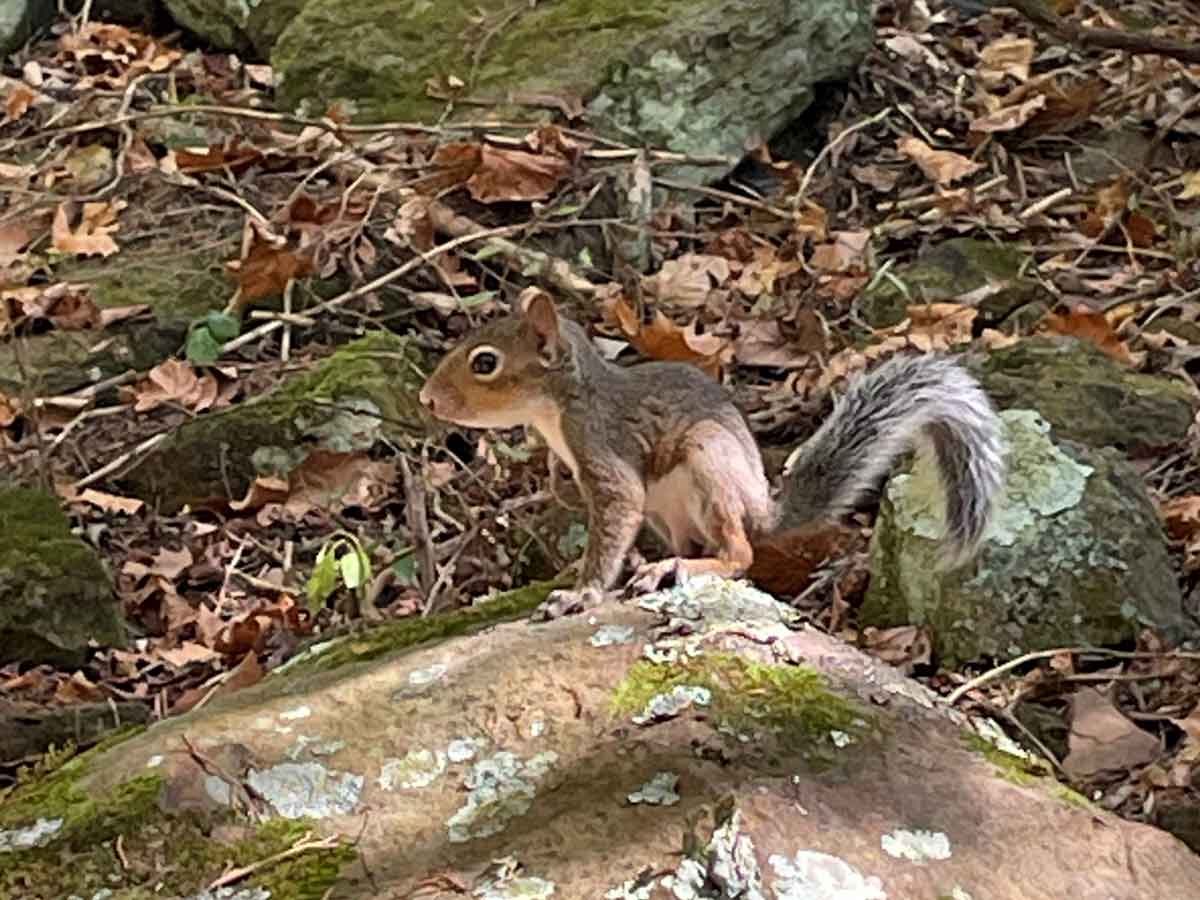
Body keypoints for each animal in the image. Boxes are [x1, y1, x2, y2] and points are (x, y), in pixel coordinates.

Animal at [417, 292, 1008, 624]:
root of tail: (762, 509)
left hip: (708, 462)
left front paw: (579, 595)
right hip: (671, 508)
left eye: (485, 363)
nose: (427, 399)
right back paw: (655, 566)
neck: (567, 402)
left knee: (738, 555)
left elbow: (613, 521)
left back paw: (683, 567)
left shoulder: (605, 451)